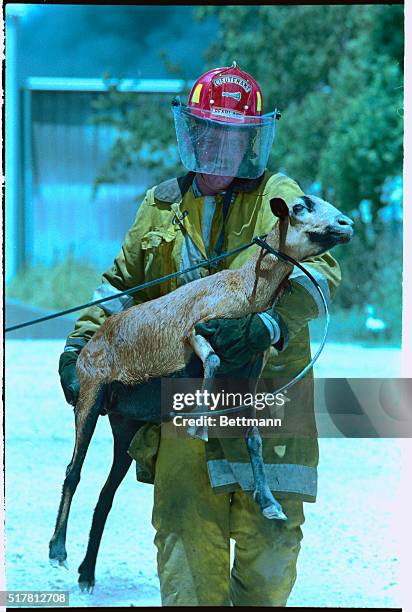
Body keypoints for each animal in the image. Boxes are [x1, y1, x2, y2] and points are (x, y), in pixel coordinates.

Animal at [49, 195, 354, 588]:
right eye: (300, 207)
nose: (346, 224)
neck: (246, 289)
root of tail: (92, 344)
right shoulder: (197, 330)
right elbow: (211, 358)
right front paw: (199, 423)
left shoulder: (248, 372)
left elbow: (255, 439)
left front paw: (270, 503)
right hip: (90, 394)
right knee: (73, 470)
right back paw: (58, 551)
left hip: (124, 423)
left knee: (105, 493)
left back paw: (87, 572)